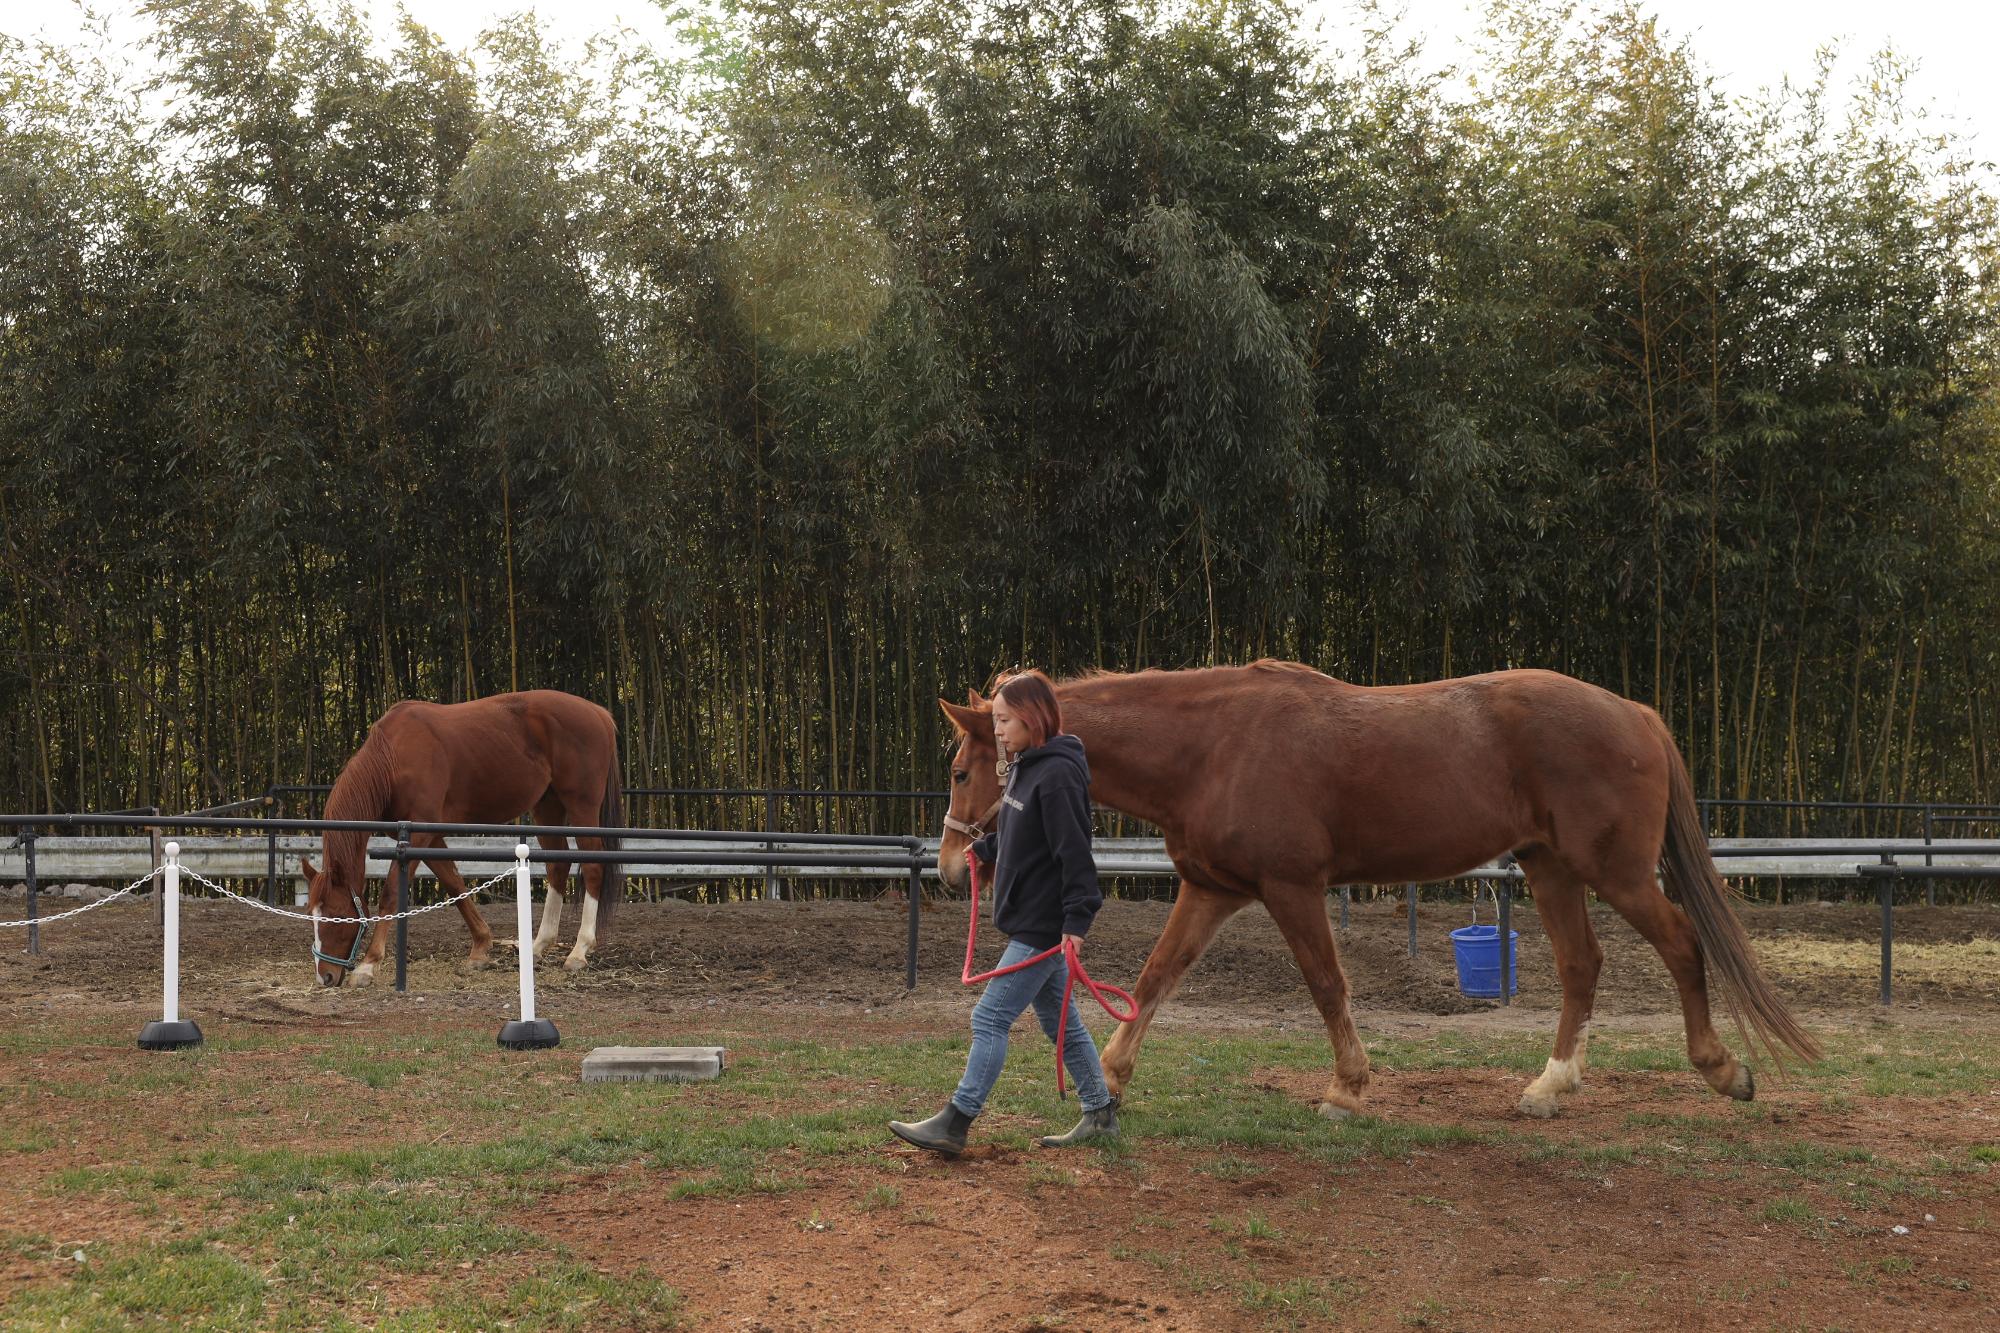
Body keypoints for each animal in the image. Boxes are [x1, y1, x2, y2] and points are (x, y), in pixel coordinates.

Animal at [298, 688, 616, 980]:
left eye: (336, 917)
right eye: (311, 916)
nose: (325, 976)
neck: (393, 758)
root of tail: (600, 714)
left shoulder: (418, 834)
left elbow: (391, 893)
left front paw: (369, 963)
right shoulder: (426, 837)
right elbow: (454, 884)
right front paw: (480, 949)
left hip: (581, 806)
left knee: (593, 866)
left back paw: (579, 951)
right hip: (547, 807)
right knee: (558, 866)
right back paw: (537, 947)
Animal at [932, 660, 1816, 1112]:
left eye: (963, 769)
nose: (948, 867)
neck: (1213, 745)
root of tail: (1637, 712)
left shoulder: (1292, 886)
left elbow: (1328, 984)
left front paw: (1348, 1088)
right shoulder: (1212, 889)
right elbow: (1156, 976)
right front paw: (1111, 1076)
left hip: (1616, 873)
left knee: (1682, 943)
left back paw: (1721, 1068)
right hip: (1550, 868)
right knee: (1580, 966)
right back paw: (1550, 1084)